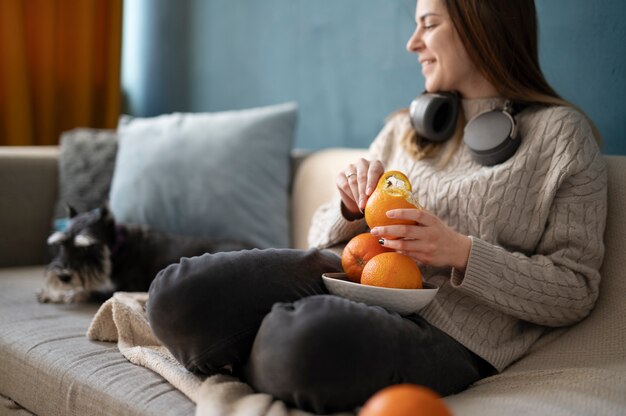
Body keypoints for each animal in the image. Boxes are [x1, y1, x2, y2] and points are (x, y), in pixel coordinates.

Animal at [37, 204, 249, 304]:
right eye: (62, 244)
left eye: (88, 247)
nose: (64, 276)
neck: (118, 248)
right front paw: (52, 292)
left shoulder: (128, 287)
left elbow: (96, 291)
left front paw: (72, 294)